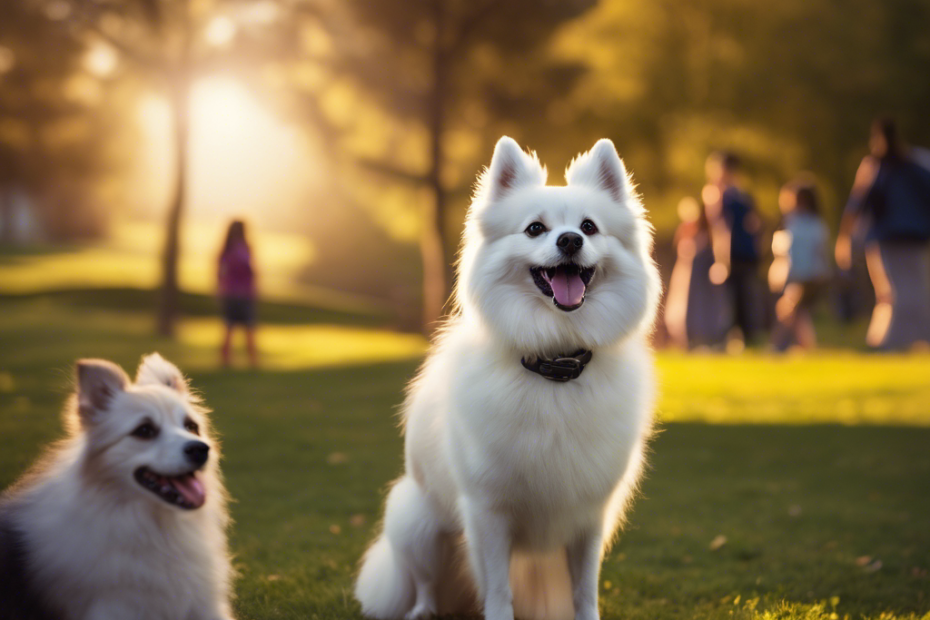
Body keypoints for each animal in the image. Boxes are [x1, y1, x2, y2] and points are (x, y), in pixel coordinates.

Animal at [0, 354, 232, 620]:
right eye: (144, 430)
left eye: (191, 427)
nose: (200, 449)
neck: (156, 528)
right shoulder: (115, 606)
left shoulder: (205, 605)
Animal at [356, 138, 660, 620]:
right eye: (535, 229)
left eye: (589, 227)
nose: (570, 240)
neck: (554, 361)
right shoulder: (488, 513)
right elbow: (499, 590)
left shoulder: (588, 516)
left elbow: (584, 590)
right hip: (416, 523)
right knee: (423, 582)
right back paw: (423, 610)